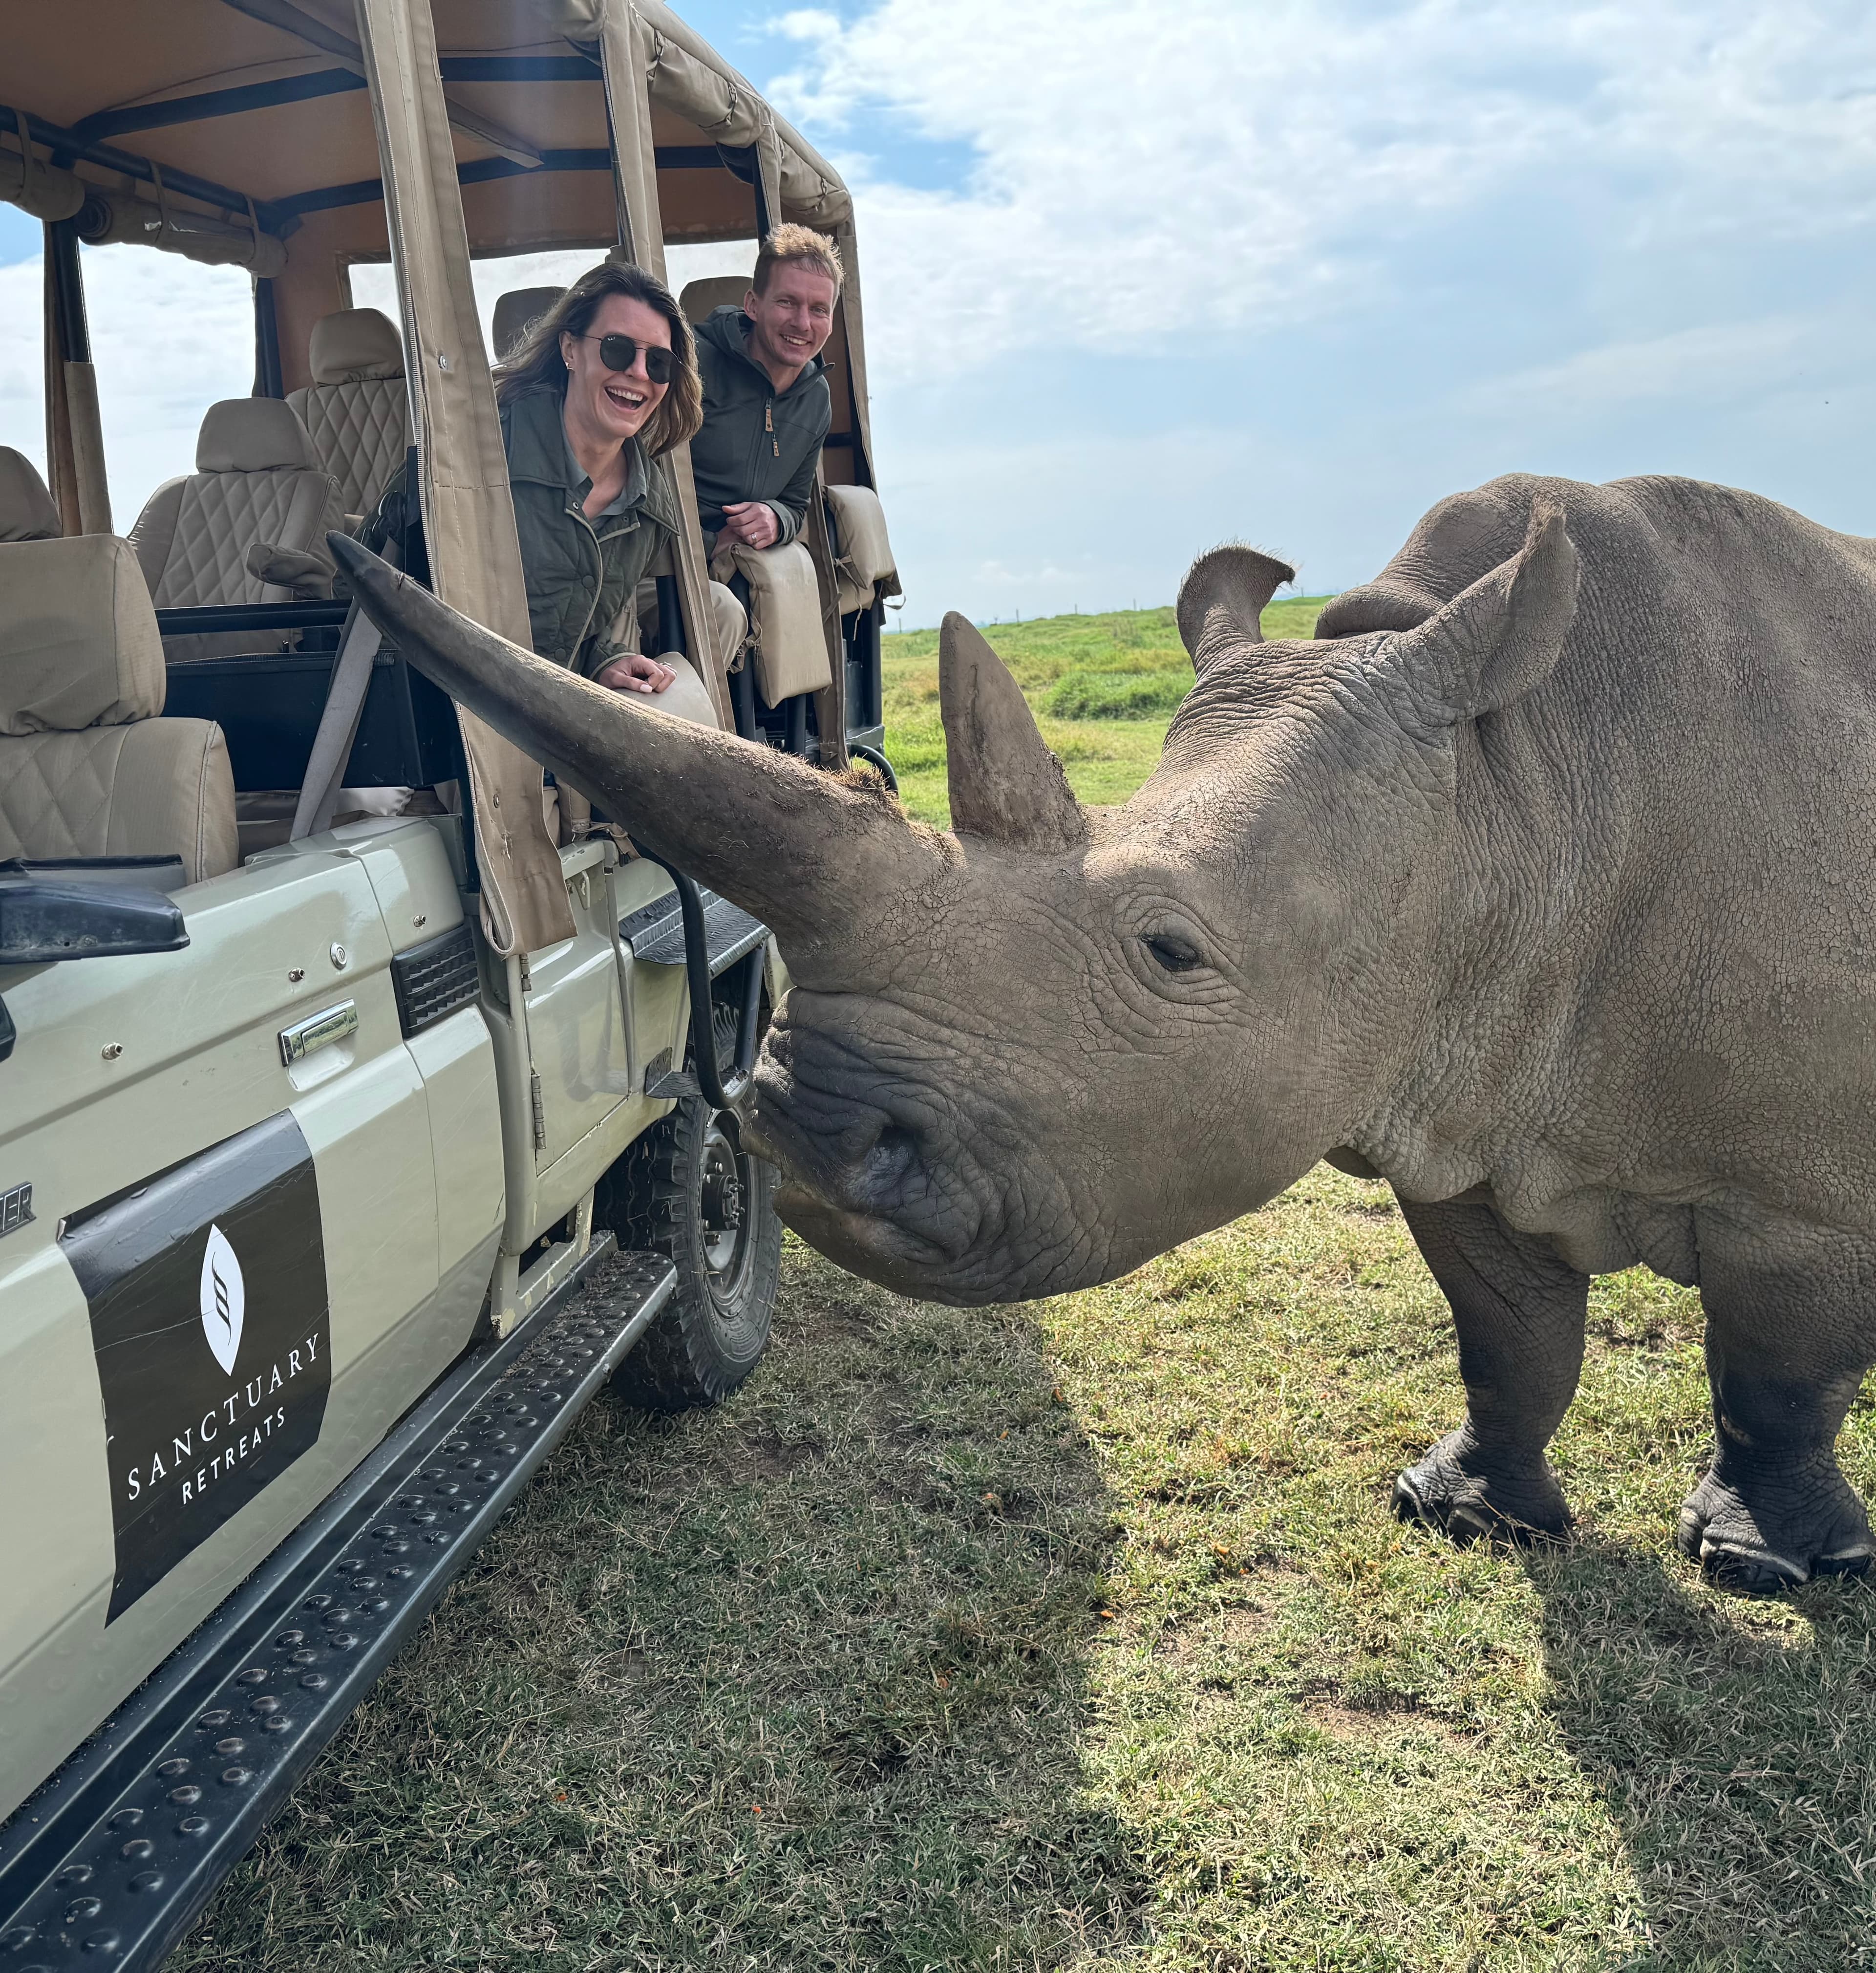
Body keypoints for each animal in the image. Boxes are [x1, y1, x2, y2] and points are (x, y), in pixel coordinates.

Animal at [331, 471, 1876, 1596]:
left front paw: (1773, 1565)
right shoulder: (1451, 1090)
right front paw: (1464, 1512)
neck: (1510, 792)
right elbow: (1505, 1328)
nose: (811, 1131)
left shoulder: (1800, 1188)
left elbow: (1778, 1363)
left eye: (1172, 950)